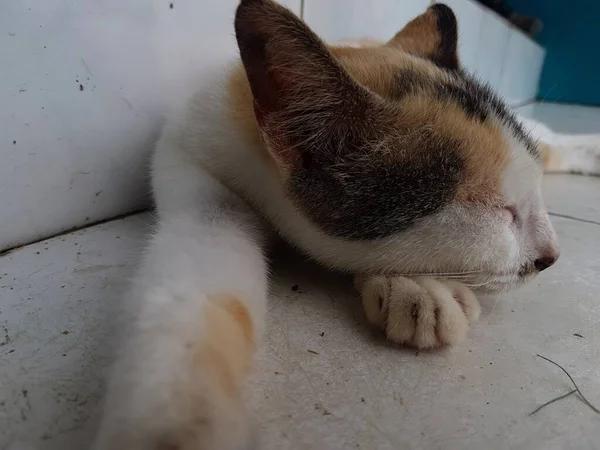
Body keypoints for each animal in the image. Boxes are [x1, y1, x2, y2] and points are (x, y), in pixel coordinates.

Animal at [89, 1, 568, 448]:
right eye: (501, 210)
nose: (552, 256)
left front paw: (414, 286)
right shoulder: (198, 181)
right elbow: (196, 291)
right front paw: (177, 420)